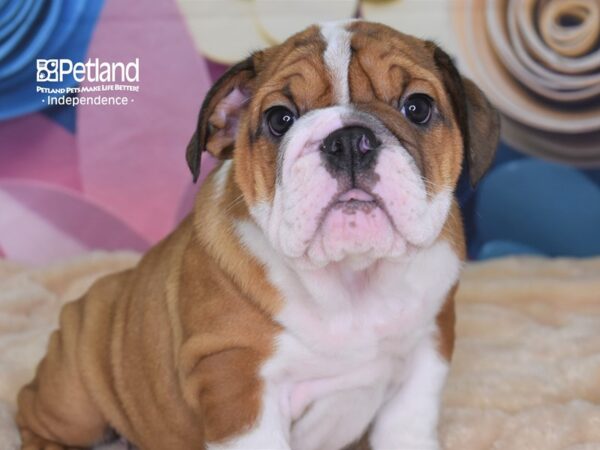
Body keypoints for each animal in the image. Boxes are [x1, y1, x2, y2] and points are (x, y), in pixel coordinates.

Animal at [17, 19, 496, 450]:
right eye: (279, 119)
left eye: (417, 107)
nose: (348, 140)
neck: (351, 279)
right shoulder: (236, 379)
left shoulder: (429, 345)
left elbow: (407, 423)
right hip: (76, 392)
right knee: (31, 410)